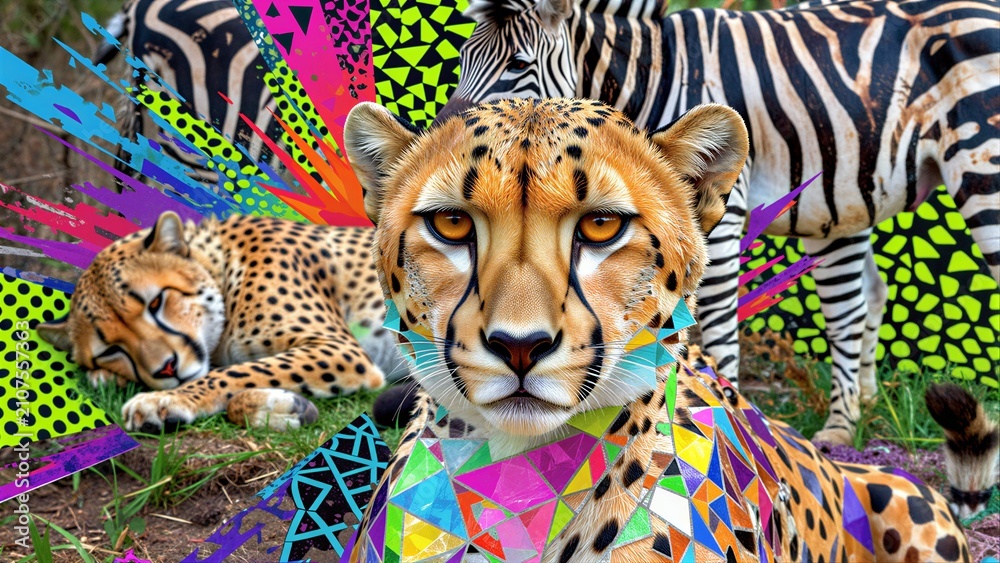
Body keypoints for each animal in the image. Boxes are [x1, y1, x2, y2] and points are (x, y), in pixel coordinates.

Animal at [435, 0, 1000, 445]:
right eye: (459, 60)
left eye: (518, 64)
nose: (441, 144)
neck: (654, 79)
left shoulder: (720, 215)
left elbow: (717, 329)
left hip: (979, 166)